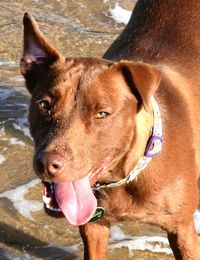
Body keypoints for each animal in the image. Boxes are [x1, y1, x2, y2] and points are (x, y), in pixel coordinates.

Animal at [20, 1, 200, 258]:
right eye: (45, 104)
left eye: (102, 113)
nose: (47, 164)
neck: (124, 176)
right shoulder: (94, 225)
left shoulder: (183, 231)